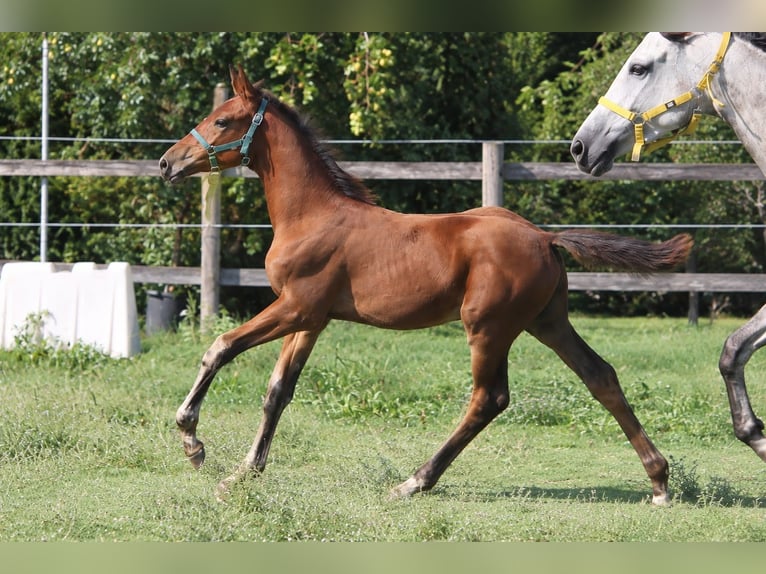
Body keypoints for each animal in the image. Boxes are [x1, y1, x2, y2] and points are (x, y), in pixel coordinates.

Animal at [159, 65, 692, 505]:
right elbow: (277, 391)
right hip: (548, 321)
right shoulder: (311, 319)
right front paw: (243, 473)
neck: (311, 215)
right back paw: (659, 482)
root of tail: (544, 237)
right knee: (600, 375)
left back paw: (414, 481)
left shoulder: (296, 307)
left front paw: (192, 441)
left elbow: (220, 346)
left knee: (489, 399)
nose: (167, 163)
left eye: (222, 121)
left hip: (488, 327)